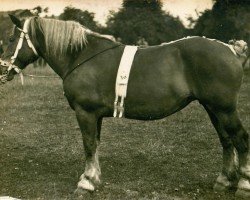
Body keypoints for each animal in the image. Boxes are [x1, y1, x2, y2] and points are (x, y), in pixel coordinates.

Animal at [0, 14, 250, 198]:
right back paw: (224, 181)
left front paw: (86, 183)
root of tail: (231, 50)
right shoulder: (95, 115)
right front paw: (95, 179)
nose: (3, 70)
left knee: (240, 138)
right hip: (213, 108)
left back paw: (243, 185)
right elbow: (95, 145)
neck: (81, 55)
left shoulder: (85, 113)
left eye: (11, 40)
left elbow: (88, 145)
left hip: (224, 109)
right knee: (226, 140)